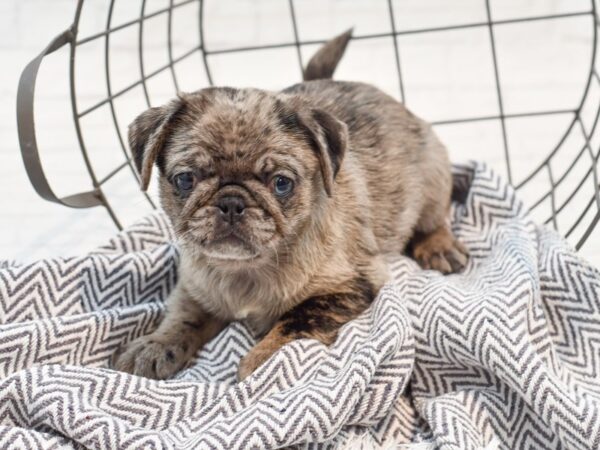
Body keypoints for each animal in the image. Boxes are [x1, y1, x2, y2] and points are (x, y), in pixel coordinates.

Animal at [115, 29, 466, 380]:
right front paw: (155, 344)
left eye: (281, 183)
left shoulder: (351, 286)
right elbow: (182, 315)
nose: (231, 202)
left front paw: (265, 358)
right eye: (185, 179)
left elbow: (297, 319)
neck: (247, 268)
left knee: (433, 220)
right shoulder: (194, 287)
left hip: (432, 178)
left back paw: (439, 246)